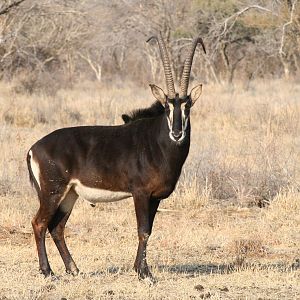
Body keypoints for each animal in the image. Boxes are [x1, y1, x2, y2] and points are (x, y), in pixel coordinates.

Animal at [27, 33, 205, 284]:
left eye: (188, 106)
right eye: (167, 107)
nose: (177, 133)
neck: (157, 143)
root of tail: (34, 148)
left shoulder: (155, 197)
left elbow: (149, 230)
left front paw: (141, 270)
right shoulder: (140, 193)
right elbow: (143, 230)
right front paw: (144, 274)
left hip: (69, 195)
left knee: (57, 227)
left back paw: (74, 269)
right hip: (52, 192)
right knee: (40, 223)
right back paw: (48, 272)